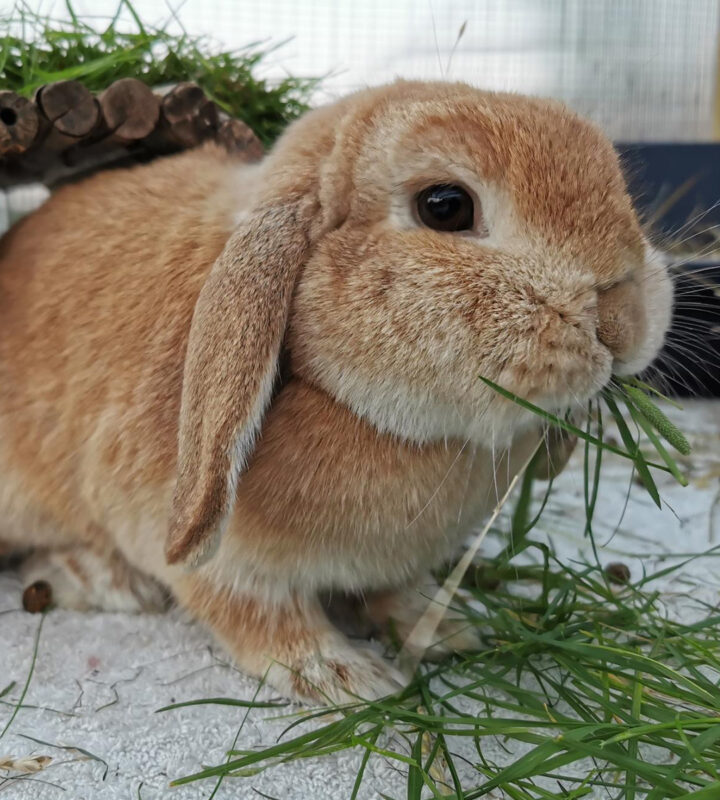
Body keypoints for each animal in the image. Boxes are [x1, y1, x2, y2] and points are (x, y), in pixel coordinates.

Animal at [0, 80, 672, 703]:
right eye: (446, 206)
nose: (626, 317)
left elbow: (400, 594)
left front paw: (445, 629)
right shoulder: (215, 560)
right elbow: (259, 617)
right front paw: (346, 677)